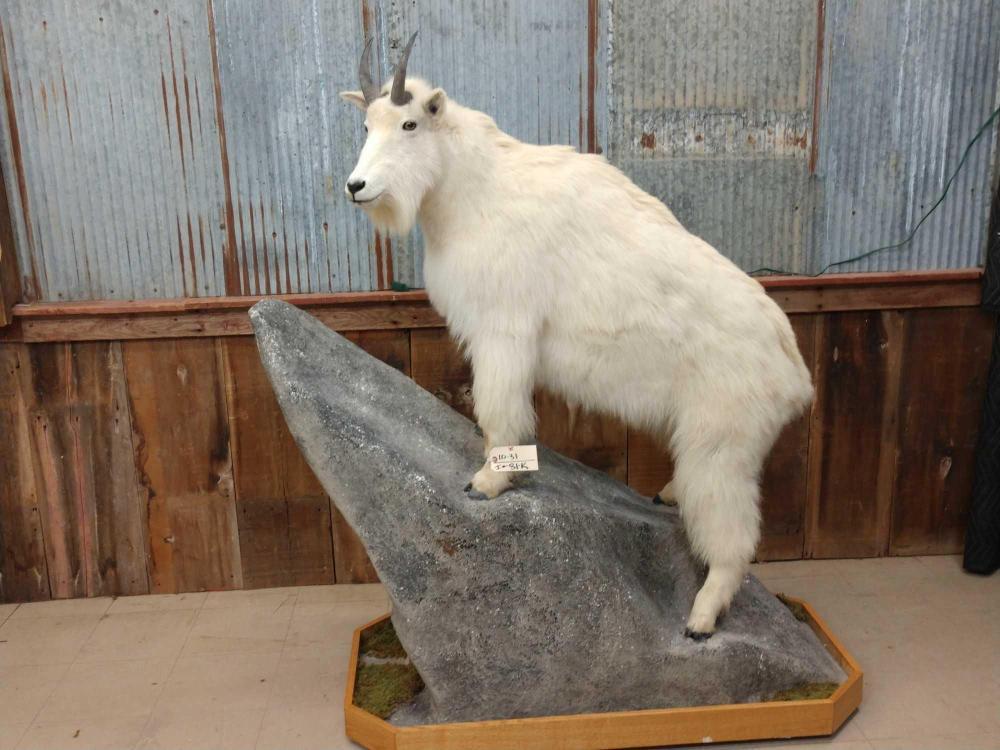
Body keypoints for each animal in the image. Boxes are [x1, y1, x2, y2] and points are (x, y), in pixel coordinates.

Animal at [340, 35, 814, 638]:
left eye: (408, 124)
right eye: (366, 124)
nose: (357, 187)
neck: (475, 189)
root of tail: (795, 375)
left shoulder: (504, 331)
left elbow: (498, 409)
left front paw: (488, 482)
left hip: (723, 442)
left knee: (732, 536)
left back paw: (701, 619)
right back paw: (666, 496)